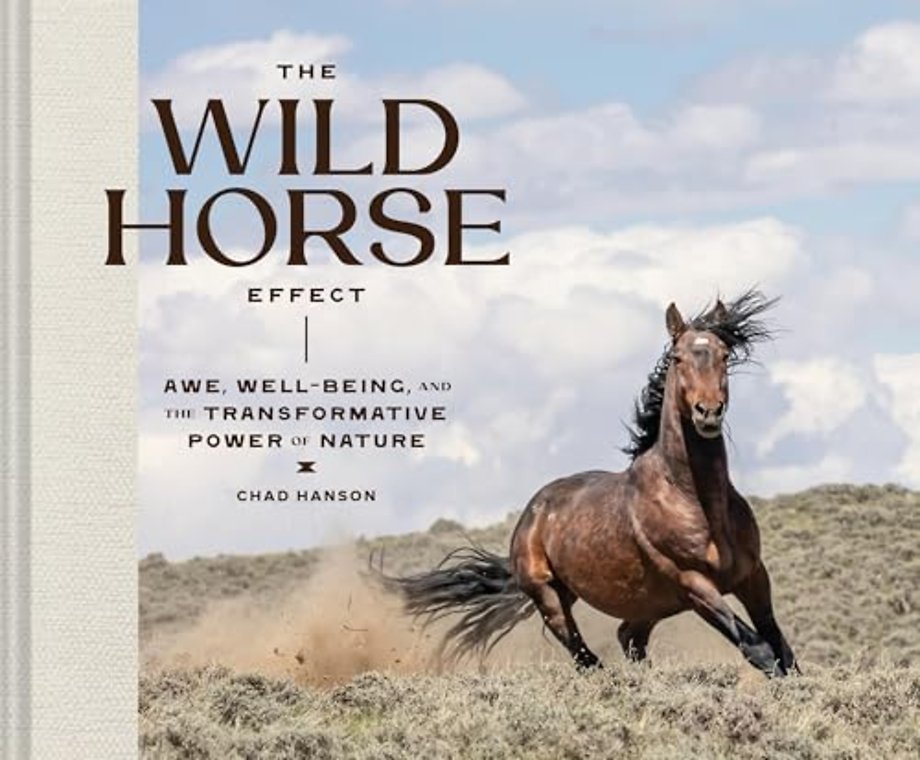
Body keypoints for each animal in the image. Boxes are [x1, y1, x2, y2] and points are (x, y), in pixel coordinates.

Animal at [381, 290, 798, 677]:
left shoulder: (753, 576)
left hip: (650, 603)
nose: (708, 412)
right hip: (551, 597)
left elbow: (783, 651)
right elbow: (760, 649)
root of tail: (531, 515)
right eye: (678, 358)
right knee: (585, 655)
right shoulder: (694, 584)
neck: (697, 501)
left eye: (725, 354)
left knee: (627, 638)